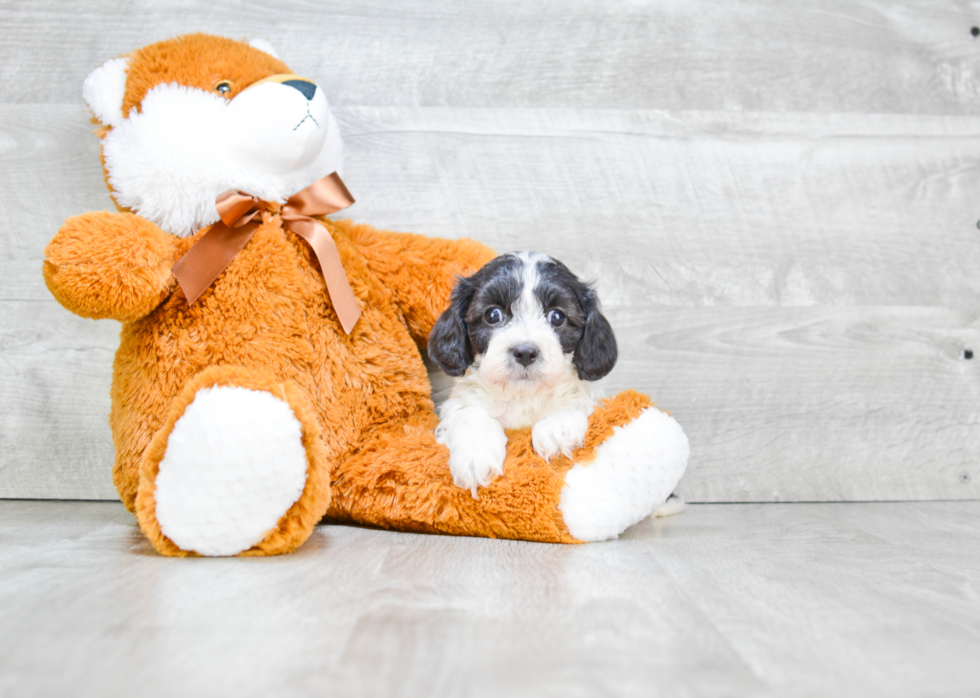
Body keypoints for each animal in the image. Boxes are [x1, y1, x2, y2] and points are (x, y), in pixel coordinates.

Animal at [426, 250, 616, 494]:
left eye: (557, 317)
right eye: (493, 315)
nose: (525, 352)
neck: (522, 393)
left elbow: (575, 397)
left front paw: (556, 428)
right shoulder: (462, 401)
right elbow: (470, 413)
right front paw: (475, 456)